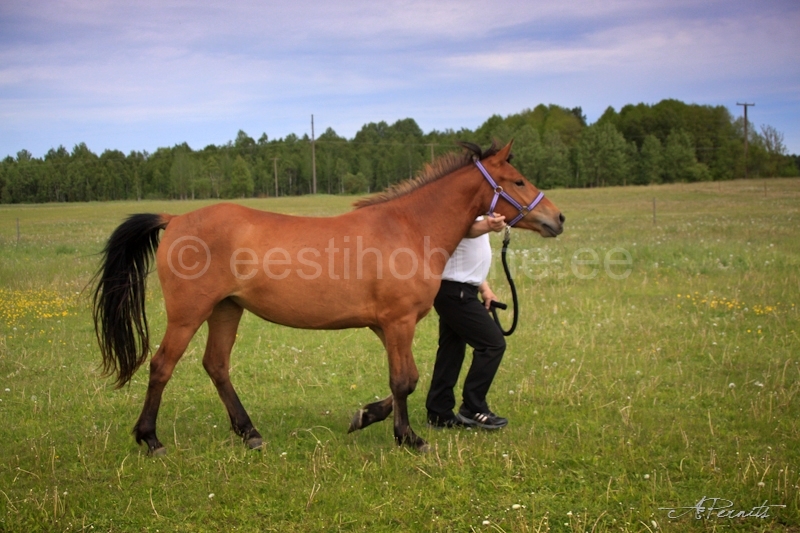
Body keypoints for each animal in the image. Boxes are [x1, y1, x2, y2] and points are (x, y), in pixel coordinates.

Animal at [92, 141, 564, 455]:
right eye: (518, 180)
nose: (557, 218)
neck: (409, 228)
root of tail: (175, 219)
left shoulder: (386, 326)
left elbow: (407, 378)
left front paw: (367, 417)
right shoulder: (397, 322)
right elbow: (405, 381)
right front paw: (408, 437)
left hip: (227, 310)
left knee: (217, 366)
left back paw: (250, 433)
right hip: (189, 314)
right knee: (162, 366)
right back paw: (150, 438)